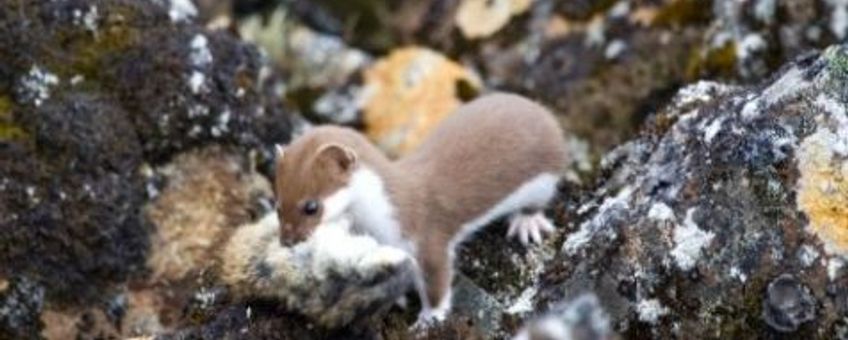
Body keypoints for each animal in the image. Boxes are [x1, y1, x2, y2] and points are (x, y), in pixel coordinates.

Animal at [274, 93, 568, 324]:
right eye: (278, 206)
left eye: (311, 206)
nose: (286, 241)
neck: (376, 222)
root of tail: (542, 111)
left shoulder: (426, 238)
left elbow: (437, 280)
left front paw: (429, 318)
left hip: (543, 180)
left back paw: (526, 223)